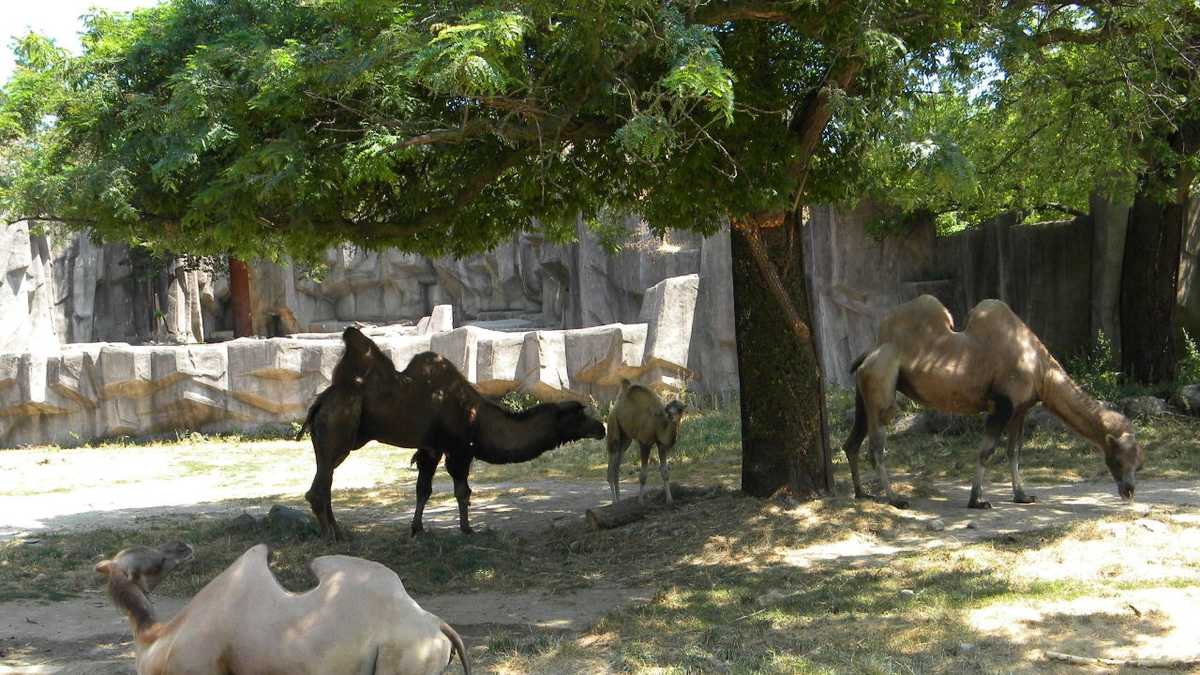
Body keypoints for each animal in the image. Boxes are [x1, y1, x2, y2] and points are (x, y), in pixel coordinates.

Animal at [300, 327, 607, 540]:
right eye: (578, 416)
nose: (601, 428)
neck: (477, 417)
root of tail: (319, 403)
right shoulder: (458, 449)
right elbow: (462, 491)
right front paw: (467, 529)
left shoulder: (432, 447)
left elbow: (423, 489)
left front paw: (417, 529)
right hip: (340, 428)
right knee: (319, 487)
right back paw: (330, 537)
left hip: (329, 438)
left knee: (326, 480)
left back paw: (339, 531)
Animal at [844, 295, 1144, 509]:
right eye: (1118, 460)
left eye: (1138, 463)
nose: (1129, 491)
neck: (1041, 371)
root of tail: (870, 351)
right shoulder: (1003, 404)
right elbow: (986, 451)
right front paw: (977, 500)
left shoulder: (1021, 409)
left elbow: (1014, 452)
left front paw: (1022, 496)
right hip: (882, 383)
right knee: (876, 446)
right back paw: (894, 499)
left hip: (863, 393)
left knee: (852, 442)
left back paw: (862, 494)